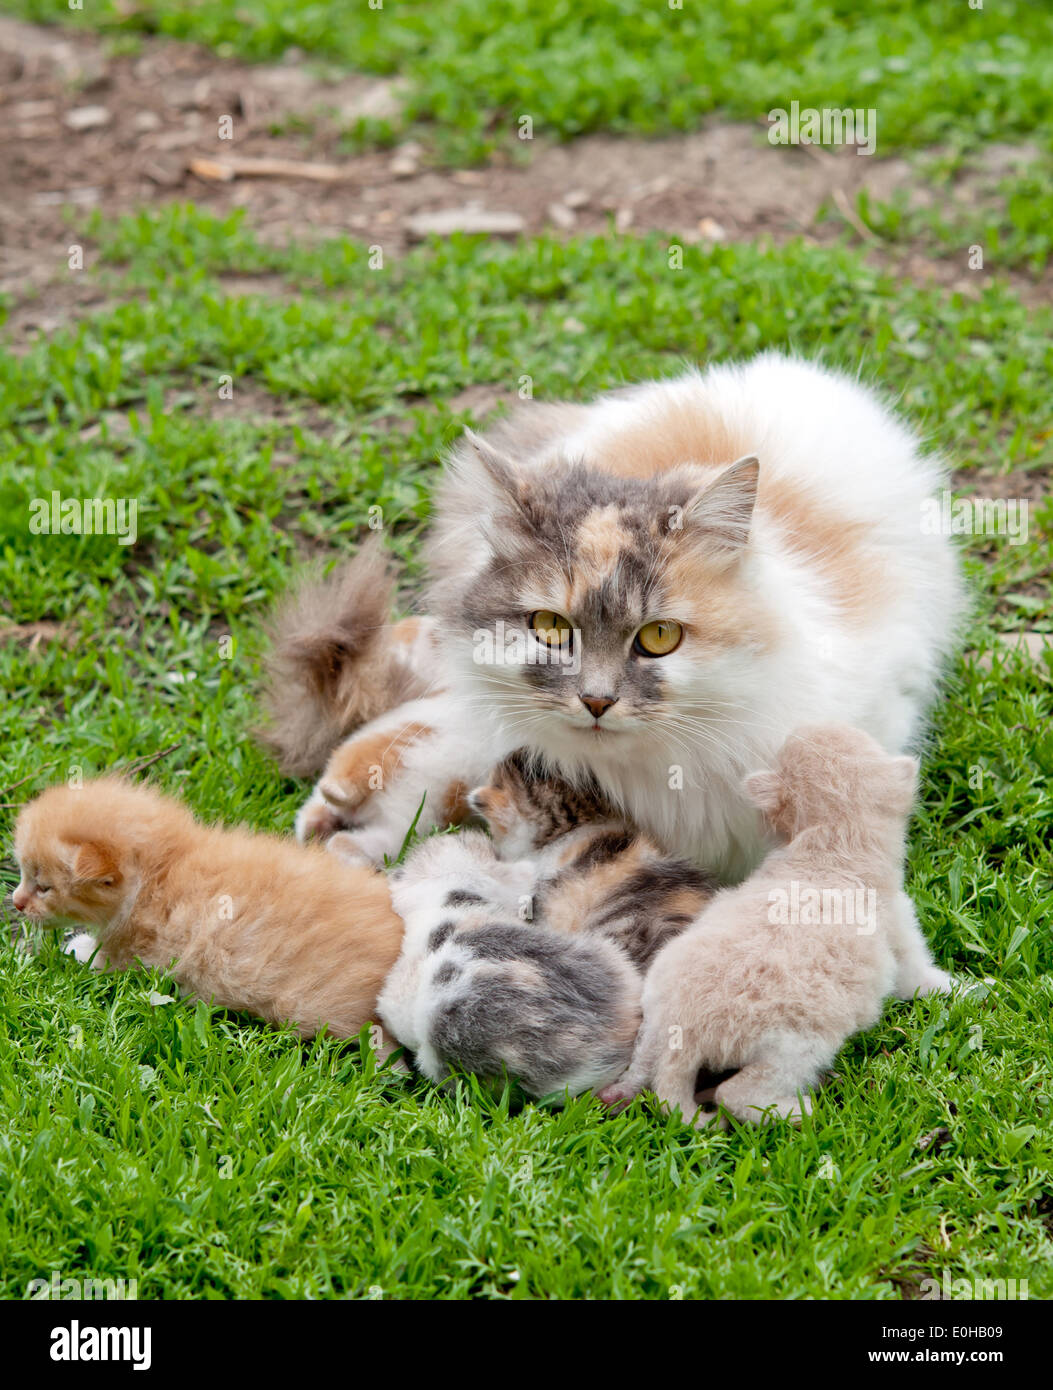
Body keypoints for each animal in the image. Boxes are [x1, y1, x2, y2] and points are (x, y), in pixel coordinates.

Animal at [14, 772, 405, 1045]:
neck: (162, 871)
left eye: (43, 887)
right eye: (22, 873)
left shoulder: (140, 955)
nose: (16, 902)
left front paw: (77, 948)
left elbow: (104, 959)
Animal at [602, 728, 955, 1128]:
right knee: (735, 1094)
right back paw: (801, 1111)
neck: (828, 850)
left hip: (654, 1018)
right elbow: (921, 976)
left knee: (642, 1065)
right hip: (794, 1047)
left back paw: (621, 1092)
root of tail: (685, 1032)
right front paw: (971, 989)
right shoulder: (900, 927)